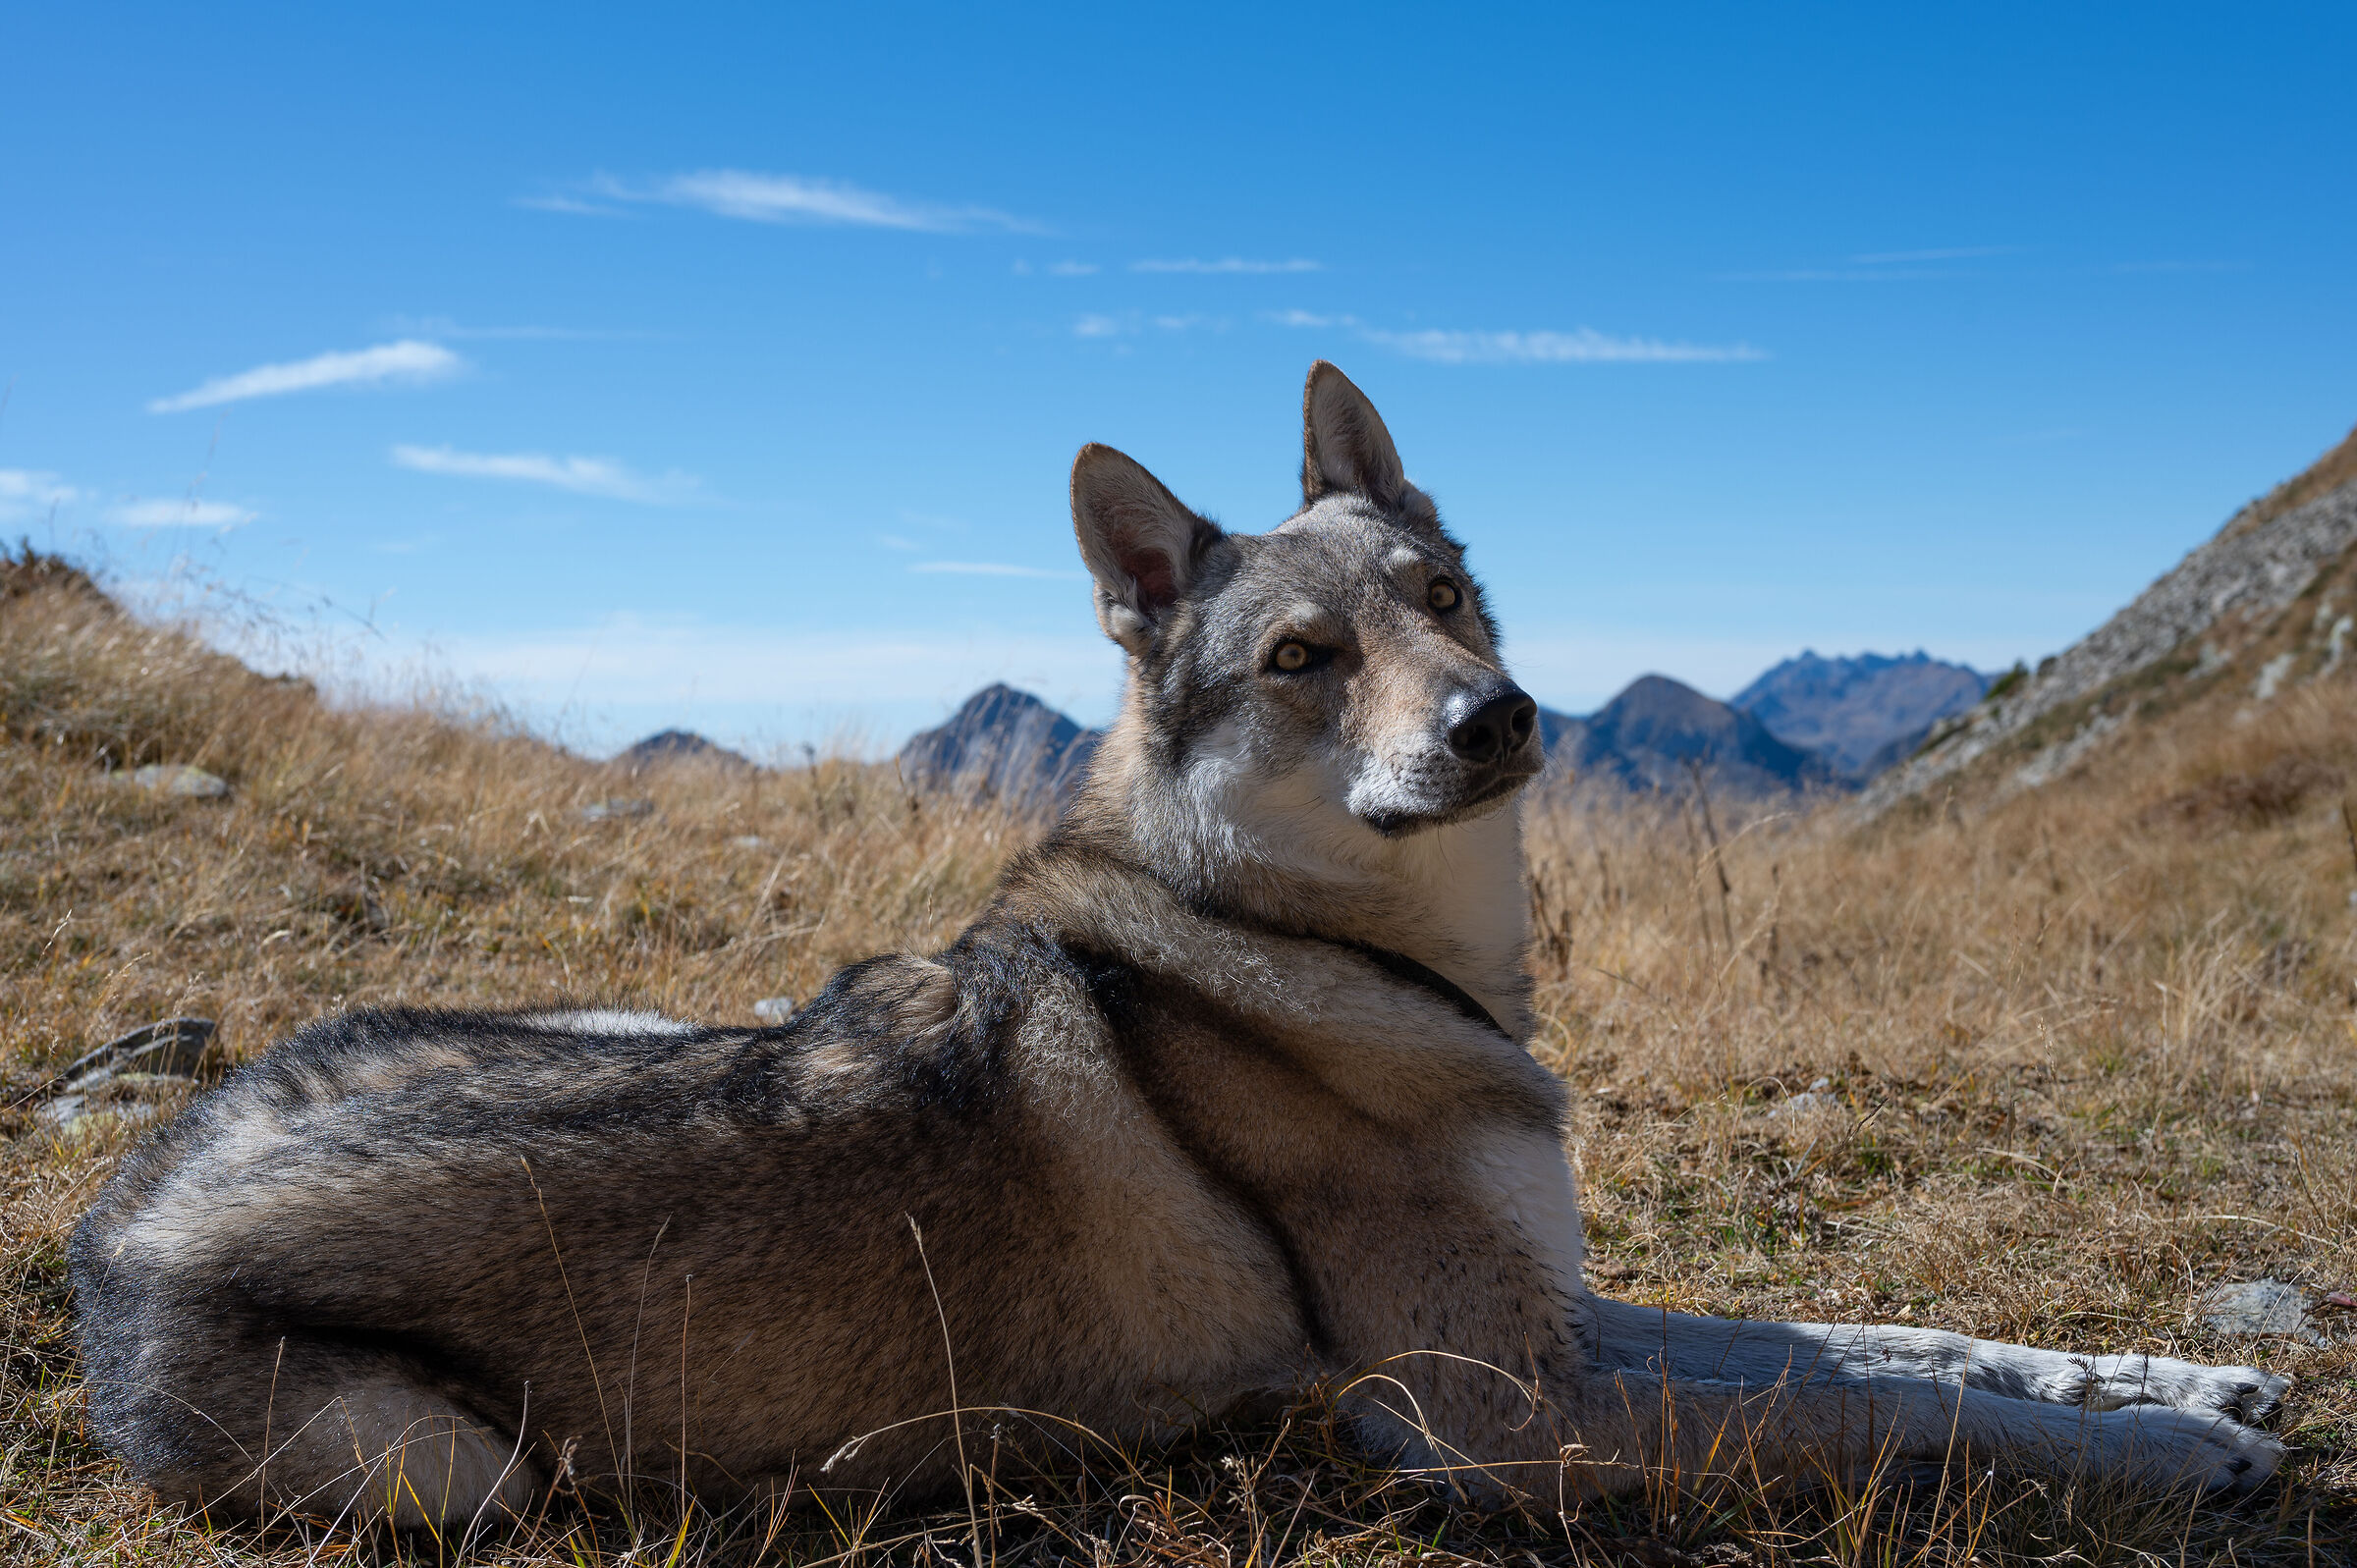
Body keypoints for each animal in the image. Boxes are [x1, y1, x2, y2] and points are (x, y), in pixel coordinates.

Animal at [71, 363, 2287, 1534]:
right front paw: (2171, 1450)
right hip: (450, 1470)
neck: (1364, 961)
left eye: (1443, 592)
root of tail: (114, 1219)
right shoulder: (1496, 1409)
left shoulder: (1563, 1324)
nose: (1498, 720)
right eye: (1305, 657)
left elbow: (1886, 1338)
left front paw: (2179, 1378)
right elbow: (1886, 1406)